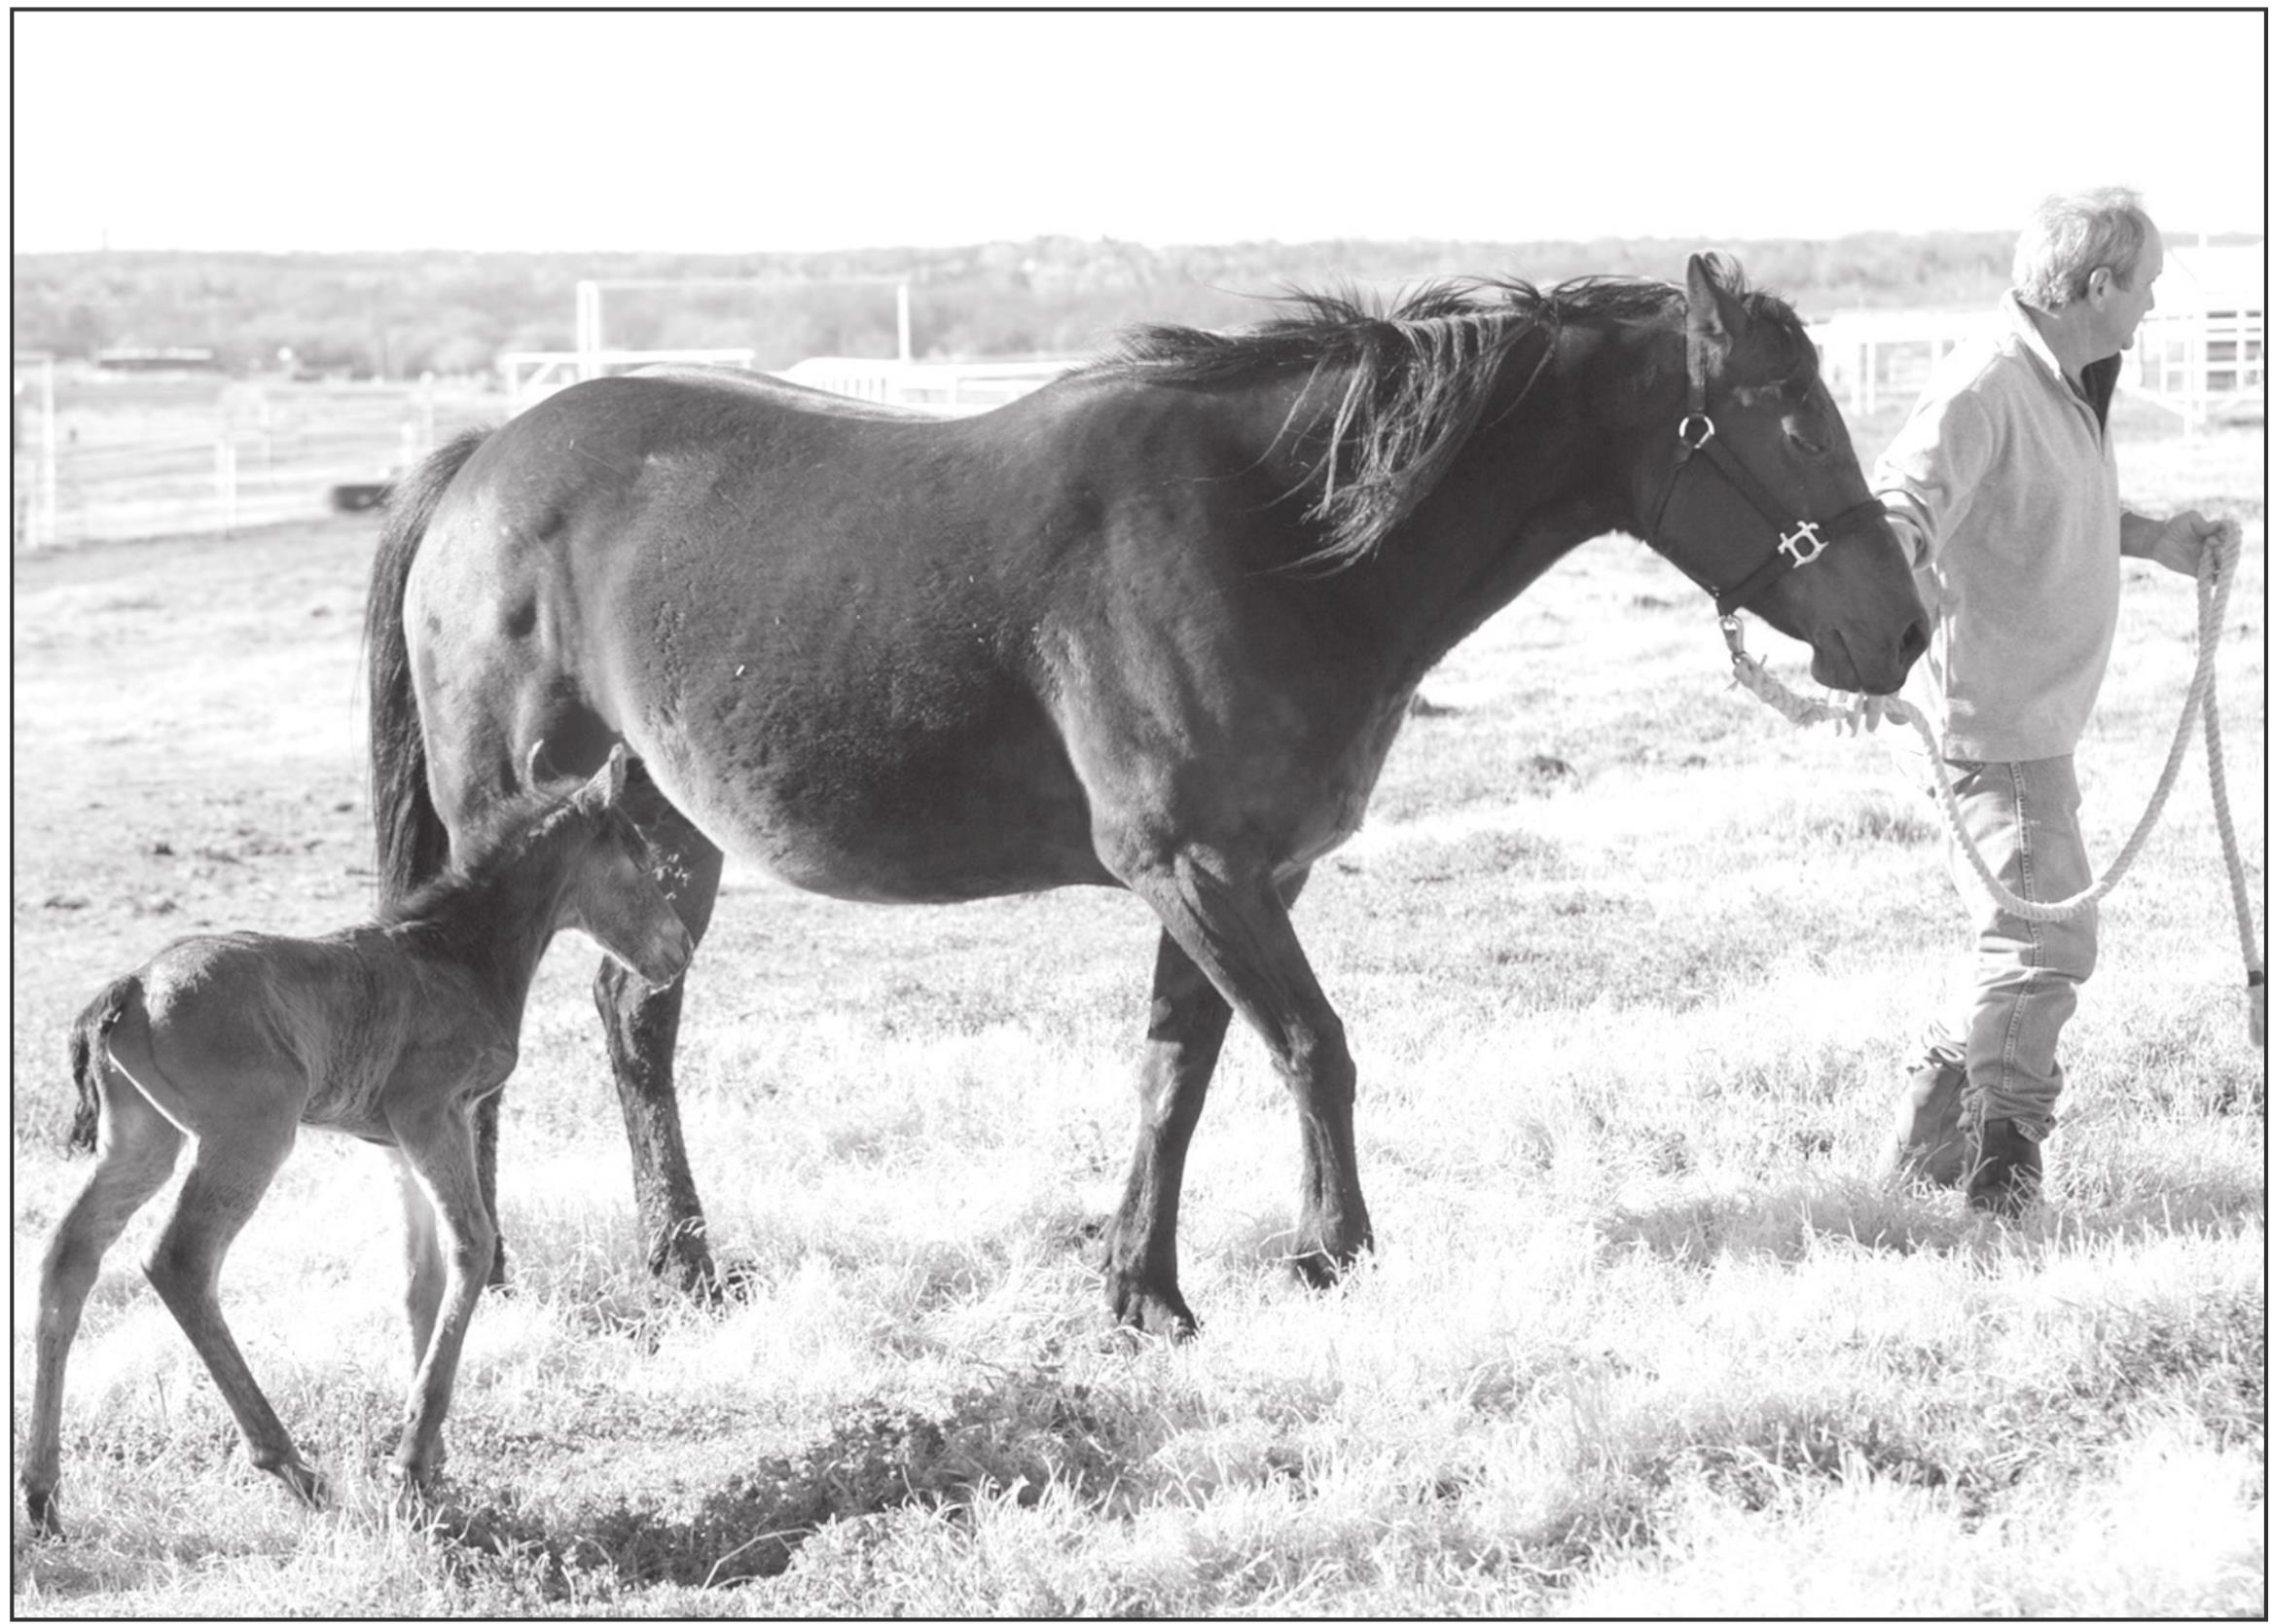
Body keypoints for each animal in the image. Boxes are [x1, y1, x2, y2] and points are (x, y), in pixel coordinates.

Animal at [21, 747, 691, 1536]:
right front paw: (411, 1458)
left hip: (143, 1137)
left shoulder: (396, 1139)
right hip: (251, 1132)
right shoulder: (432, 1110)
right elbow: (473, 1243)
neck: (455, 953)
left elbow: (420, 1273)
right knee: (179, 1260)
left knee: (70, 1254)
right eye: (638, 857)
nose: (679, 949)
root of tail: (129, 986)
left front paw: (433, 1462)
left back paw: (42, 1494)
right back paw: (295, 1469)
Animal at [364, 253, 1929, 1339]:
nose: (1901, 631)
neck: (1276, 536)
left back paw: (681, 1270)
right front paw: (1331, 1252)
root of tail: (480, 460)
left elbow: (1177, 1075)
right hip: (528, 827)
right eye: (1792, 417)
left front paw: (1143, 1294)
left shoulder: (1235, 879)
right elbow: (1311, 1050)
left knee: (637, 1029)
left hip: (663, 839)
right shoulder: (1197, 870)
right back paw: (498, 1270)